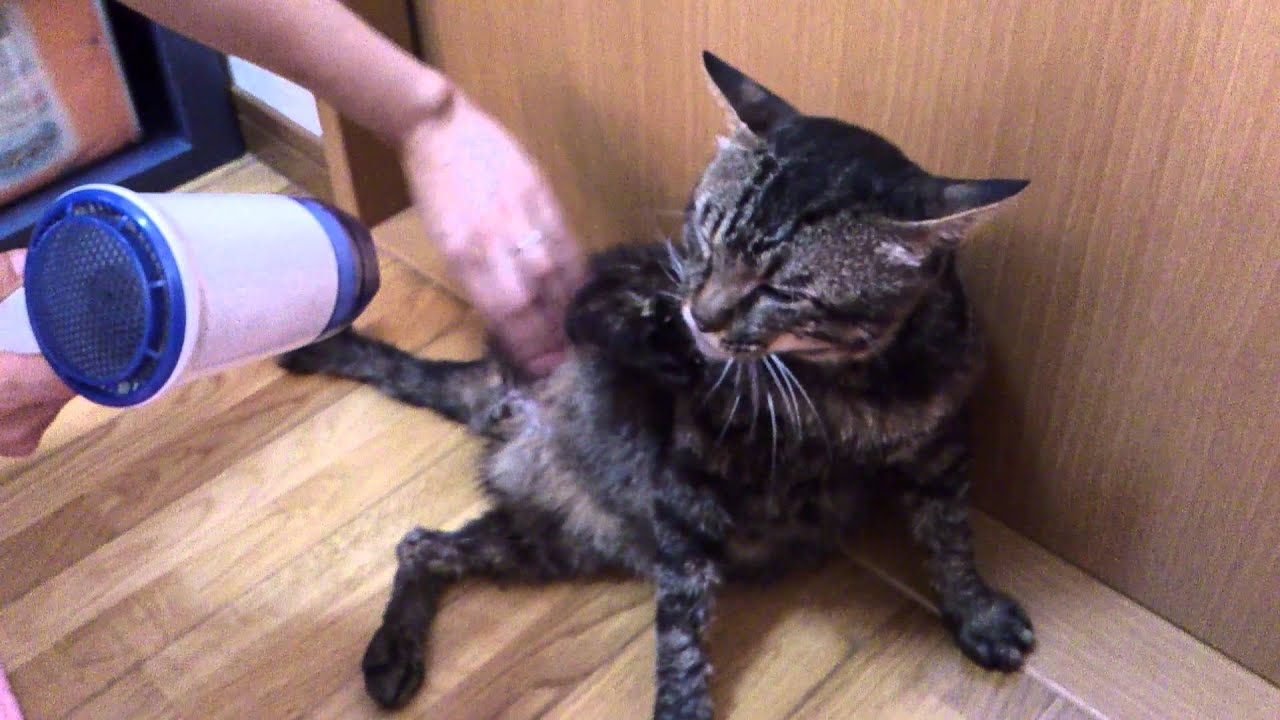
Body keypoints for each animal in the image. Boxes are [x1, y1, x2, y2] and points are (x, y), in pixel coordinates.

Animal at [279, 50, 1034, 720]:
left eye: (783, 289)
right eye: (706, 232)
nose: (704, 316)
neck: (838, 390)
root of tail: (511, 391)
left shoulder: (941, 444)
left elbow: (949, 534)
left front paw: (976, 610)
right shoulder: (686, 489)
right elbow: (683, 621)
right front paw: (681, 702)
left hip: (553, 539)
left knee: (422, 545)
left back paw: (394, 651)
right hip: (615, 313)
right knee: (585, 319)